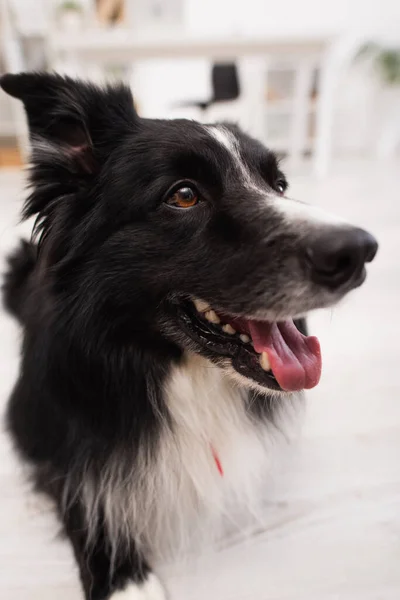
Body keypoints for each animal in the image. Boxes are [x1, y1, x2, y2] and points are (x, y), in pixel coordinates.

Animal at [0, 72, 376, 596]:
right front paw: (124, 579)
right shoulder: (42, 427)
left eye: (279, 185)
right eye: (183, 195)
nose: (360, 252)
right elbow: (83, 490)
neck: (177, 368)